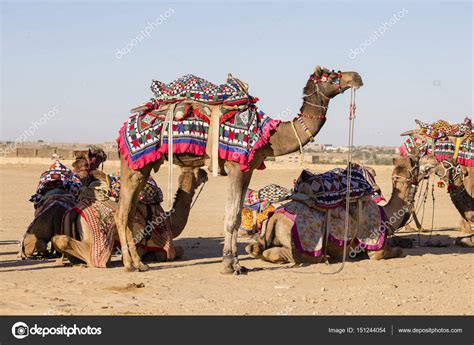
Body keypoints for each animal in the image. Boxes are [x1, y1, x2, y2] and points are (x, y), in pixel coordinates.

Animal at [52, 167, 207, 266]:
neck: (169, 220)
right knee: (92, 255)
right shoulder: (156, 244)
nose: (205, 172)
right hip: (97, 238)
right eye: (198, 172)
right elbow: (174, 252)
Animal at [114, 66, 362, 272]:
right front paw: (228, 264)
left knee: (129, 212)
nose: (356, 77)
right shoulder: (236, 167)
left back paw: (140, 263)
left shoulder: (248, 168)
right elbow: (232, 217)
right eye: (332, 75)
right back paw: (129, 266)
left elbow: (237, 214)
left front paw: (237, 264)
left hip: (143, 168)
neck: (270, 135)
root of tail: (126, 125)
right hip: (133, 165)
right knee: (122, 213)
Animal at [244, 156, 418, 264]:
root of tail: (275, 217)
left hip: (265, 234)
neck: (387, 214)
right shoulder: (375, 245)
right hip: (303, 245)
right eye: (415, 165)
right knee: (278, 254)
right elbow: (395, 252)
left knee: (253, 248)